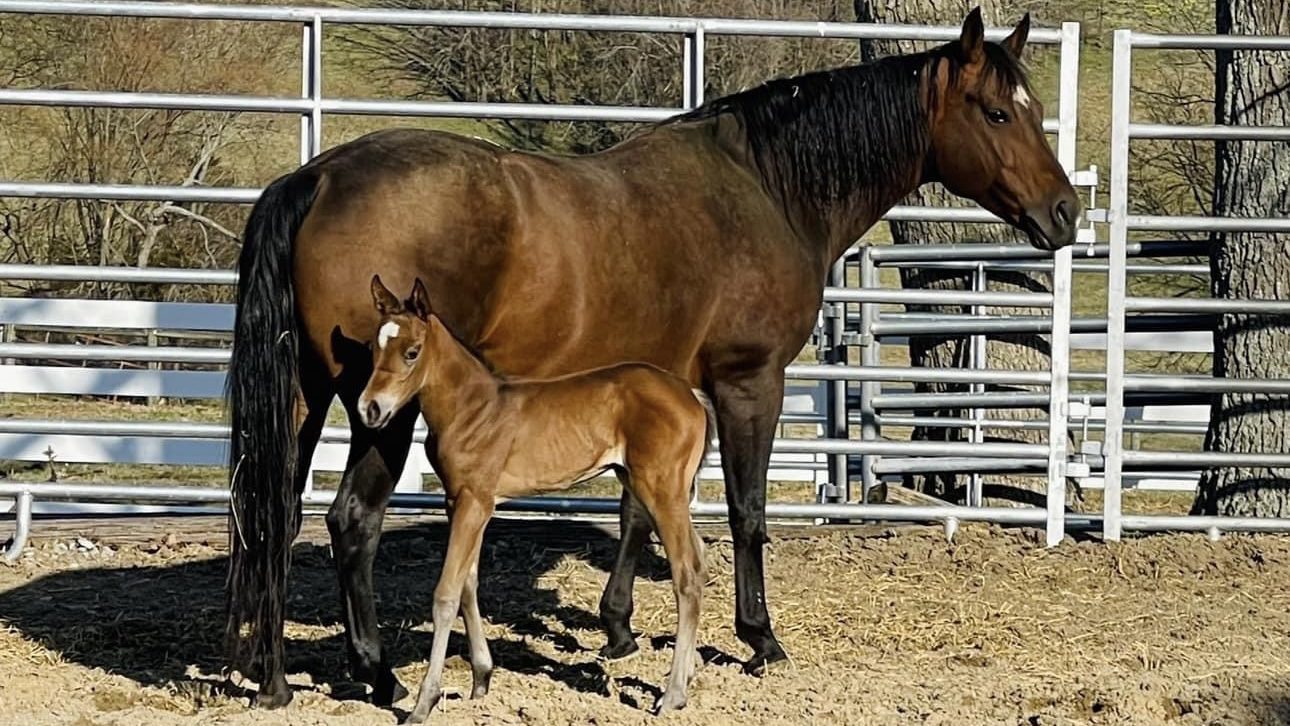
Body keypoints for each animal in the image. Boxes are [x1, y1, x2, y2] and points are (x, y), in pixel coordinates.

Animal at [358, 277, 712, 722]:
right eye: (373, 348)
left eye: (412, 351)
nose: (369, 409)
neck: (472, 410)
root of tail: (691, 394)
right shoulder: (463, 502)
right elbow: (469, 582)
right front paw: (481, 679)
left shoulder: (474, 502)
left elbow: (446, 593)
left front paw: (424, 703)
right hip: (659, 488)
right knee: (698, 561)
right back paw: (687, 677)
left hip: (660, 489)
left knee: (686, 572)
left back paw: (672, 694)